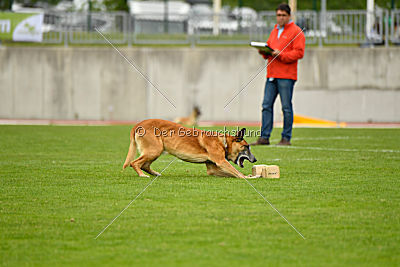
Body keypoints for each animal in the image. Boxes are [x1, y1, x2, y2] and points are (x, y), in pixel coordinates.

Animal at [123, 120, 258, 179]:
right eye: (247, 146)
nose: (255, 160)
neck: (223, 142)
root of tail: (138, 124)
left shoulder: (213, 169)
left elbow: (231, 173)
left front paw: (250, 175)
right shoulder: (221, 161)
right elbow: (238, 173)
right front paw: (249, 177)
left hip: (155, 152)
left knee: (144, 165)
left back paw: (155, 173)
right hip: (154, 151)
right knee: (134, 163)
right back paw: (141, 175)